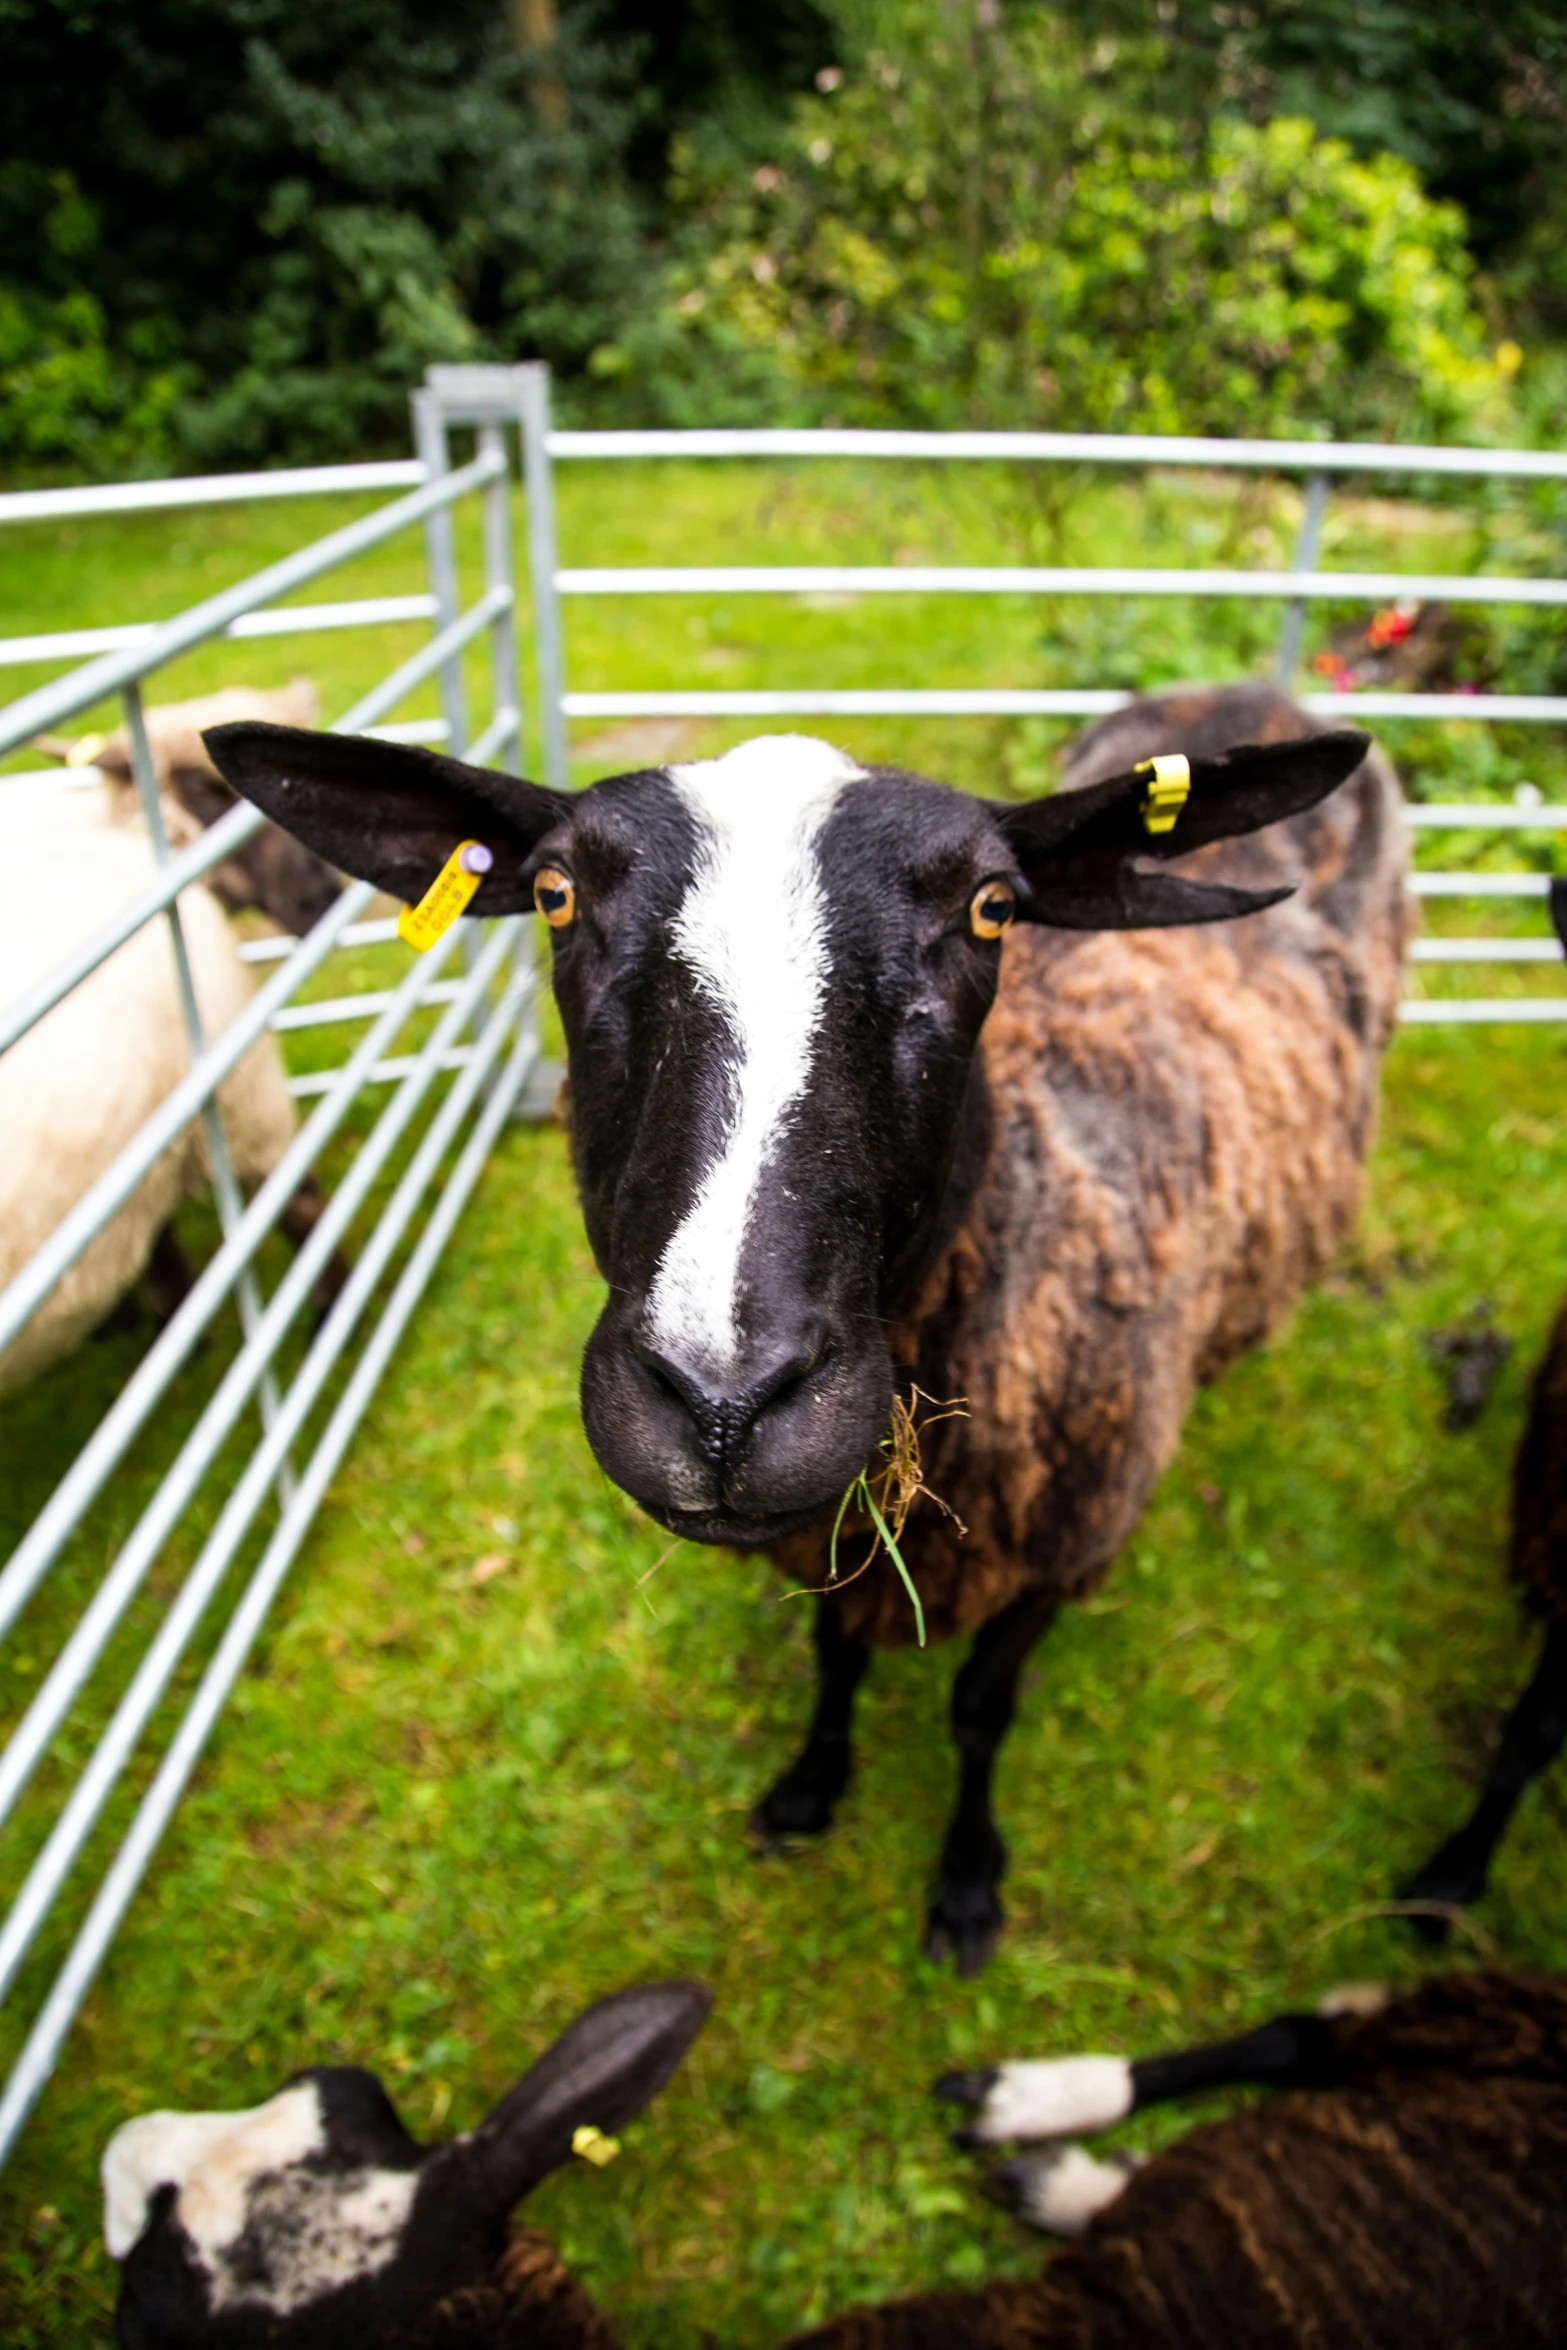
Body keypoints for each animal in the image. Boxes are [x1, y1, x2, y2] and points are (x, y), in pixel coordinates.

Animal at [202, 681, 1418, 1964]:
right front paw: (808, 1785)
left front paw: (966, 1881)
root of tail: (1250, 692)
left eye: (992, 908)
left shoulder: (1060, 1551)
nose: (720, 1404)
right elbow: (833, 1655)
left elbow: (979, 1711)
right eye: (553, 892)